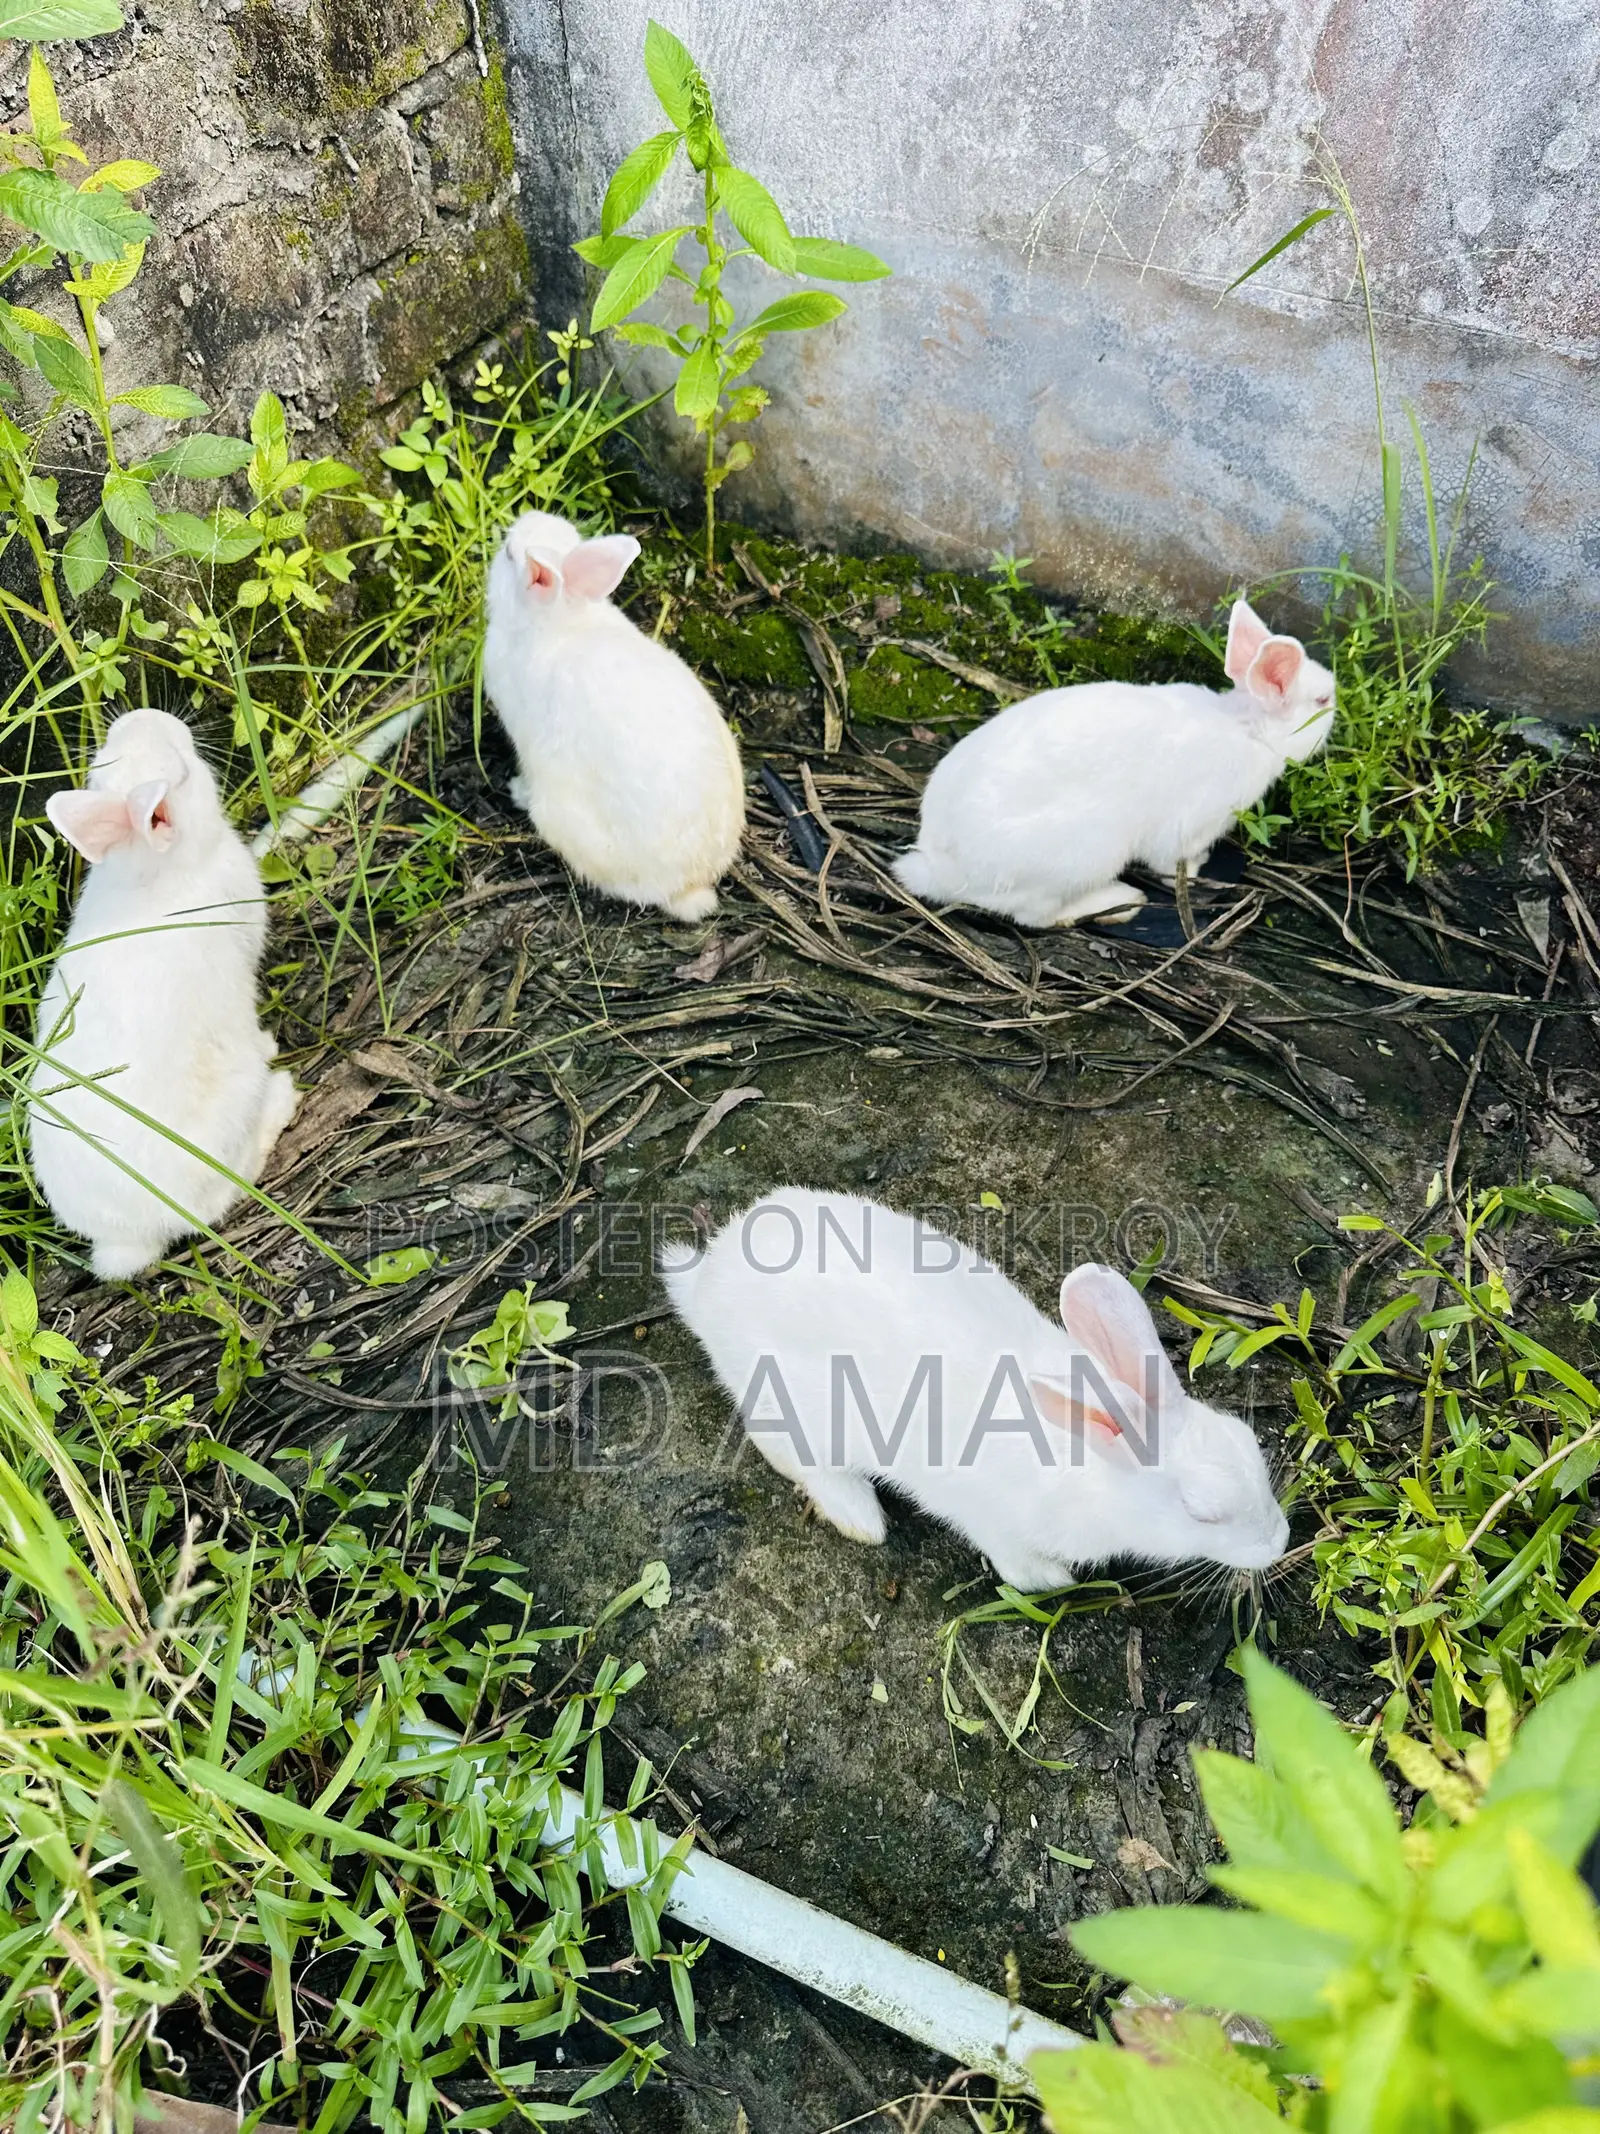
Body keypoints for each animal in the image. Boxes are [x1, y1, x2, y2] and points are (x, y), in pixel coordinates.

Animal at [29, 708, 298, 1280]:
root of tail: (128, 1238)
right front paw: (269, 1043)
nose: (148, 714)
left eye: (100, 768)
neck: (154, 871)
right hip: (233, 1114)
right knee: (225, 1195)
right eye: (185, 772)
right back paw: (283, 1096)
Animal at [663, 1188, 1288, 1592]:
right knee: (790, 1455)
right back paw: (861, 1517)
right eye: (1200, 1512)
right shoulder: (997, 1524)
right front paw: (1052, 1581)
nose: (1279, 1542)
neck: (1089, 1464)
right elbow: (1016, 1563)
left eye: (1248, 1443)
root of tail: (706, 1282)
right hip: (794, 1413)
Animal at [893, 598, 1335, 927]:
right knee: (1034, 916)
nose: (1337, 703)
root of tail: (940, 870)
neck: (1247, 728)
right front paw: (1196, 869)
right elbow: (1170, 862)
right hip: (1086, 853)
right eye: (1321, 701)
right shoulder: (1187, 826)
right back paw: (1120, 902)